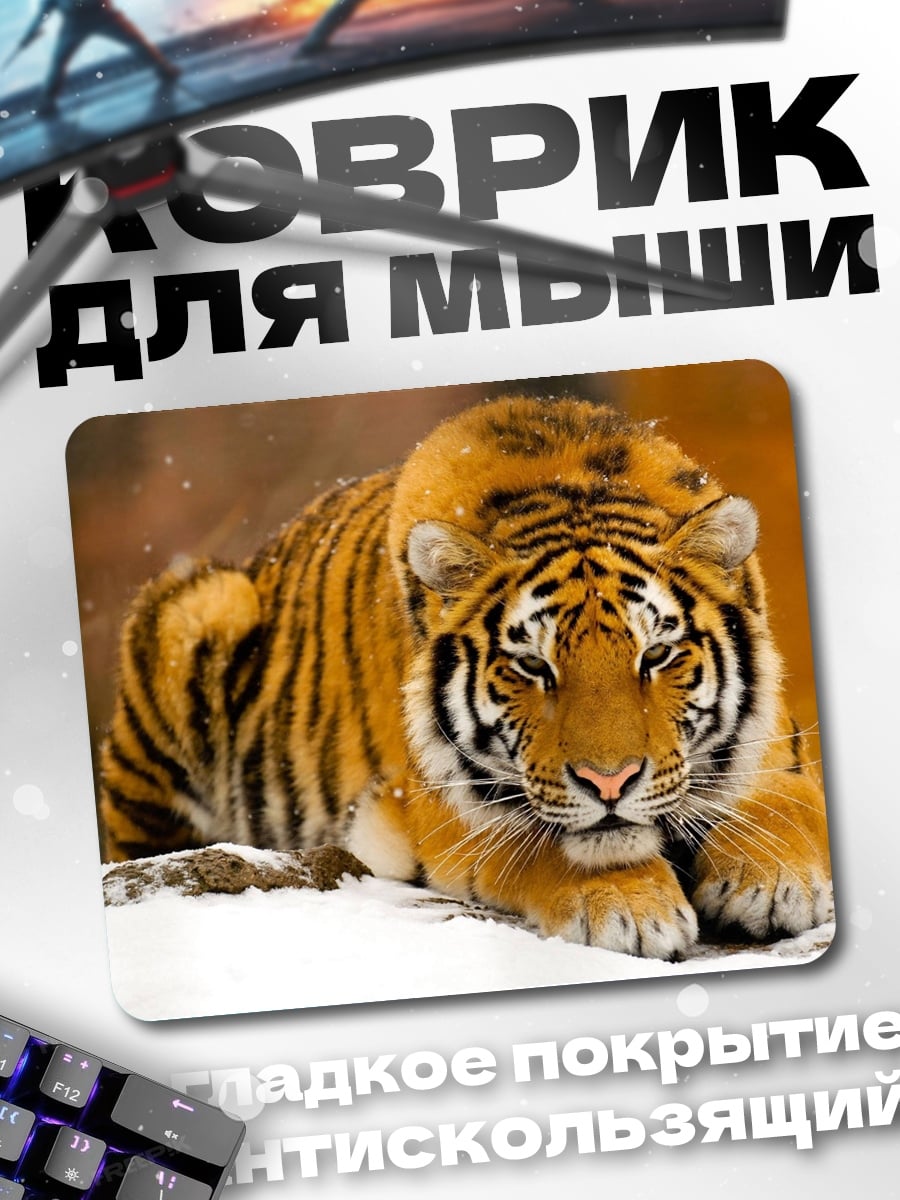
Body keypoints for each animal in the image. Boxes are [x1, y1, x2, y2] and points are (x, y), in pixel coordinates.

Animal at [97, 393, 831, 960]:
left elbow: (788, 799)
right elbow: (543, 841)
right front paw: (629, 907)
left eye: (655, 656)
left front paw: (776, 878)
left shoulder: (775, 742)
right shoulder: (439, 800)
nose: (610, 783)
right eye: (533, 665)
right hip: (198, 610)